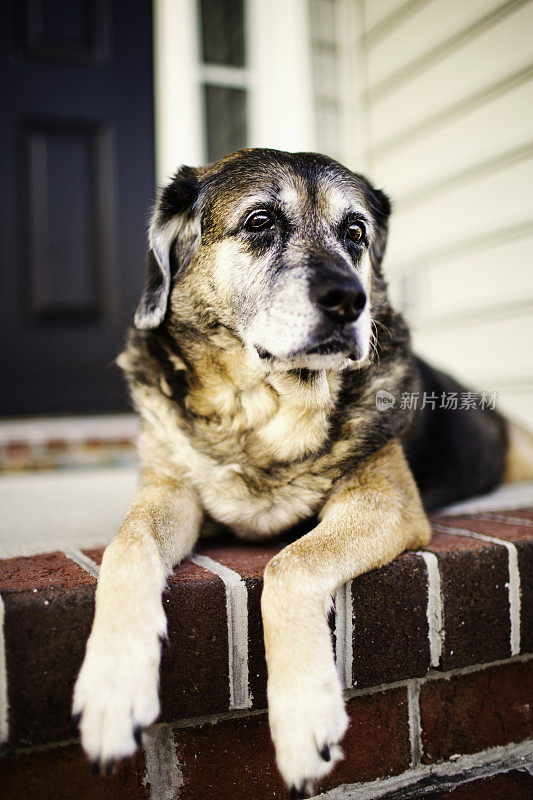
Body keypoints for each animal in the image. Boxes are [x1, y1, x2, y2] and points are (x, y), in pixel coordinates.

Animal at [71, 148, 532, 792]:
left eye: (355, 232)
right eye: (261, 221)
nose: (349, 299)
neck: (263, 413)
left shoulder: (383, 498)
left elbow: (289, 564)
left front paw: (304, 718)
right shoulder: (169, 489)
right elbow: (128, 545)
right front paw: (113, 688)